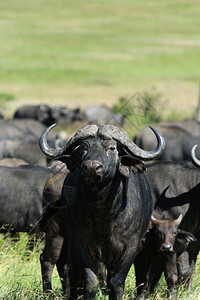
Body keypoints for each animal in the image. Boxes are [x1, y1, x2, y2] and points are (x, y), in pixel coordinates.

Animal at [38, 123, 164, 298]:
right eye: (83, 149)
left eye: (111, 148)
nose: (92, 167)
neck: (103, 214)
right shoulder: (80, 244)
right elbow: (90, 282)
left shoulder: (131, 248)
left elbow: (116, 283)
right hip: (56, 233)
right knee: (52, 261)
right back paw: (50, 292)